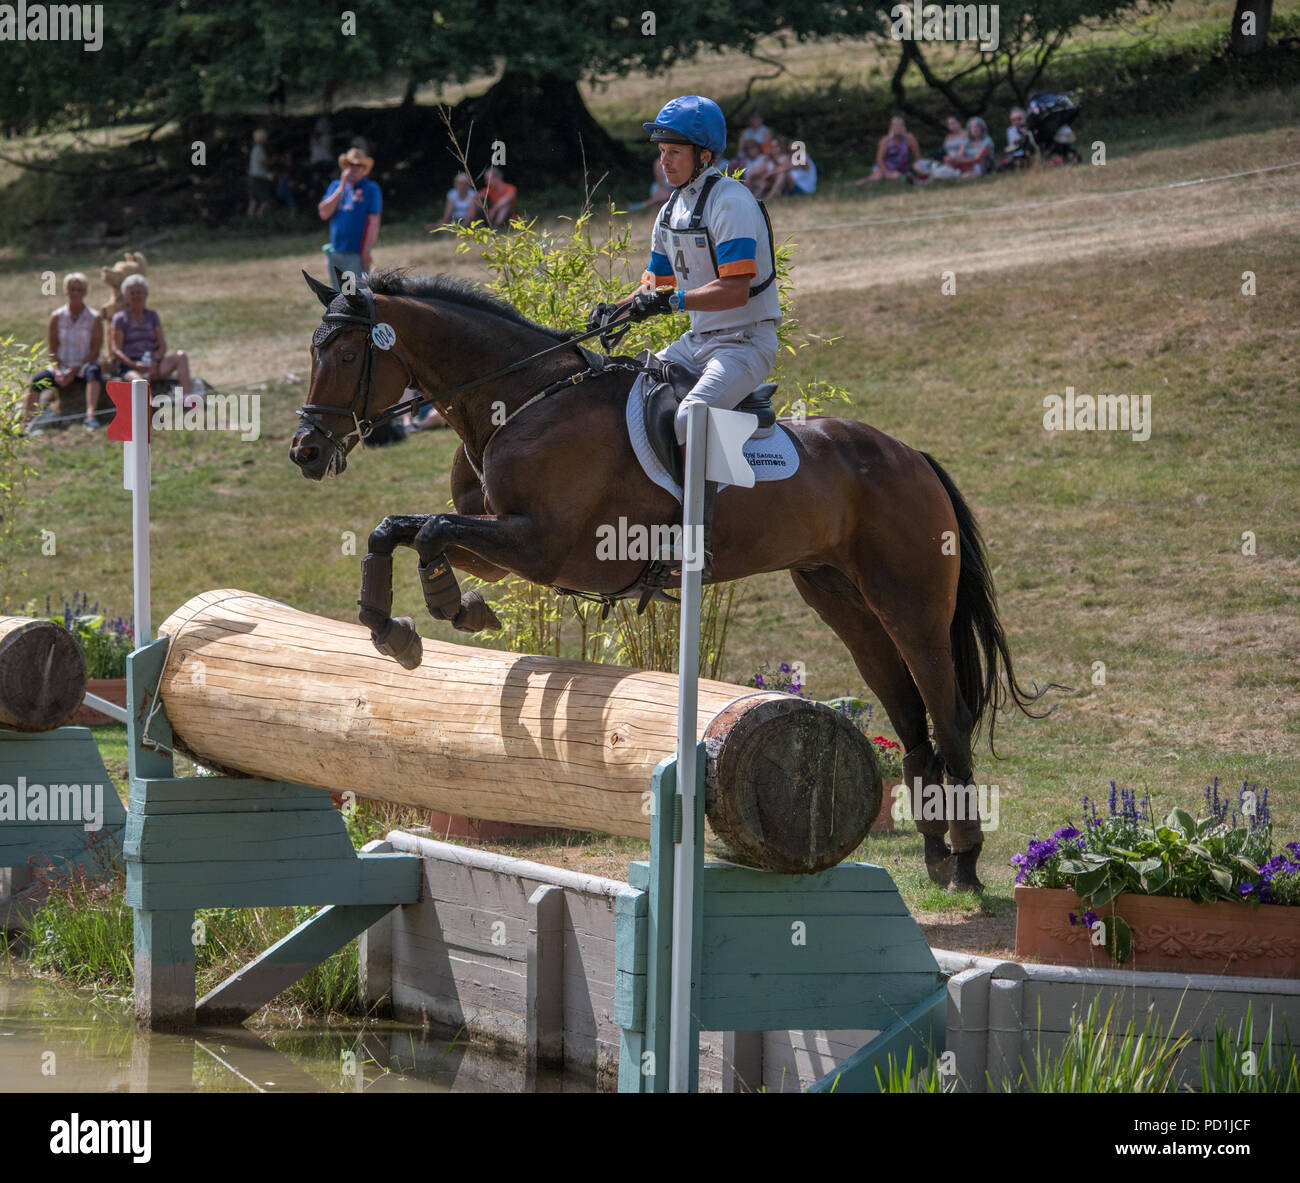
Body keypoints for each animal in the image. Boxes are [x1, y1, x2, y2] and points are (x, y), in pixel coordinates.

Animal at [287, 269, 1045, 894]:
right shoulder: (501, 545)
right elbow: (399, 528)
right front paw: (399, 624)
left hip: (910, 603)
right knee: (910, 720)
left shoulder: (542, 546)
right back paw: (936, 855)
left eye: (347, 357)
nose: (306, 452)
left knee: (947, 717)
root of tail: (910, 454)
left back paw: (966, 865)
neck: (522, 399)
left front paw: (443, 609)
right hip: (842, 601)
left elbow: (429, 530)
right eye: (313, 355)